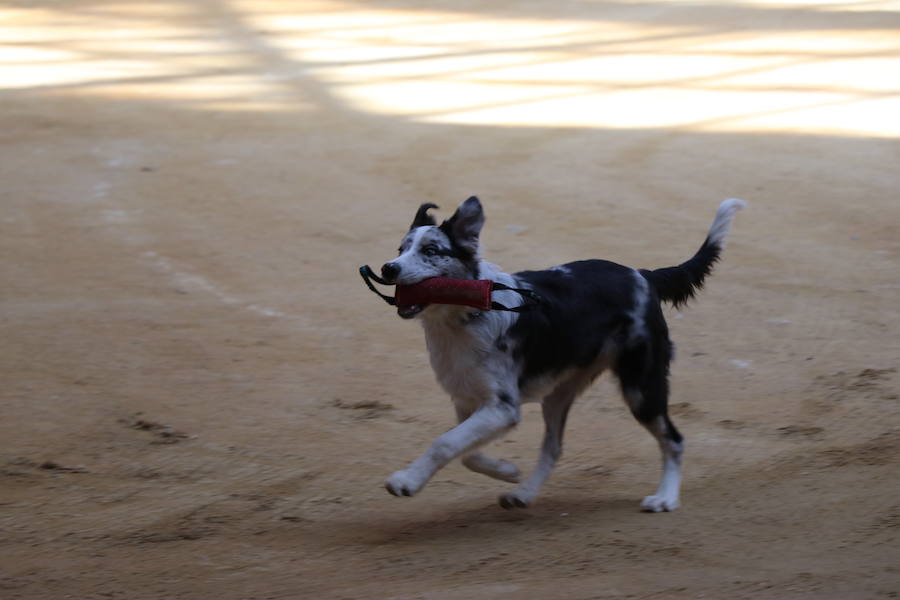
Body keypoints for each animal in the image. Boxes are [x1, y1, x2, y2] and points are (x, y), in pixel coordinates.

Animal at [376, 198, 740, 510]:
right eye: (401, 249)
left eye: (431, 250)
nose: (388, 268)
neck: (466, 316)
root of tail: (643, 275)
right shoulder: (471, 401)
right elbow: (466, 453)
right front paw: (507, 470)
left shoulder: (501, 407)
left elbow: (445, 443)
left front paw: (406, 481)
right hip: (560, 392)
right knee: (553, 447)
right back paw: (523, 493)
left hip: (642, 388)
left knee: (674, 440)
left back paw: (665, 498)